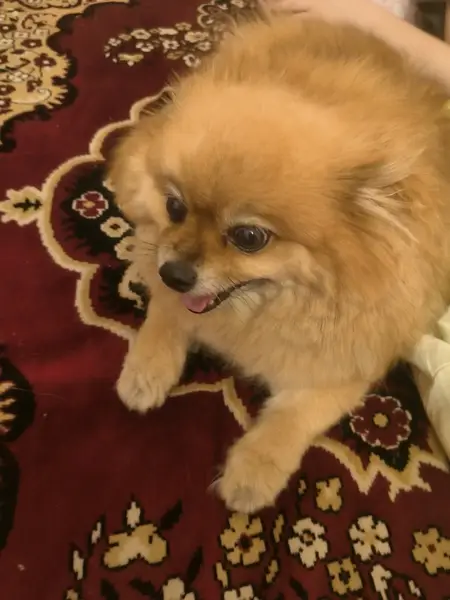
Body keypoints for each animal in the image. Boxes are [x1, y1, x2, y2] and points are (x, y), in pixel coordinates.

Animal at [109, 15, 450, 513]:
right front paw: (146, 369)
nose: (176, 273)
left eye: (249, 238)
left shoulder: (346, 363)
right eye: (174, 207)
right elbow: (166, 311)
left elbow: (295, 416)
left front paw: (253, 471)